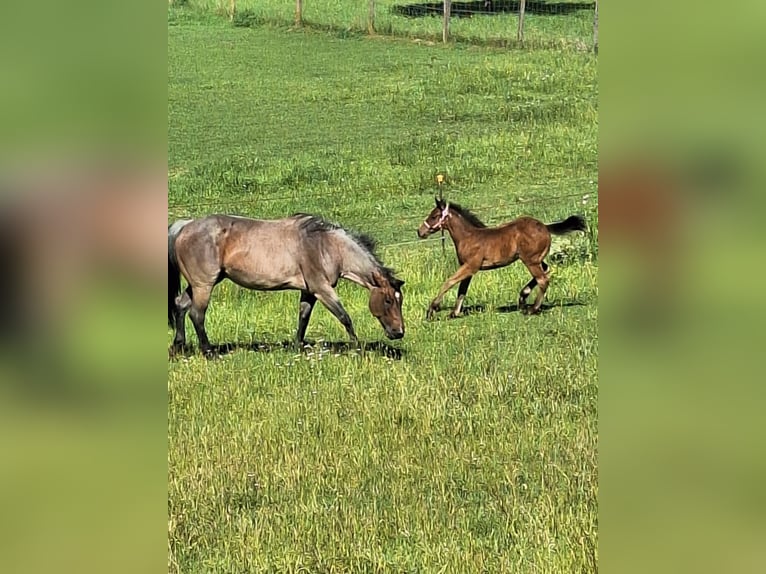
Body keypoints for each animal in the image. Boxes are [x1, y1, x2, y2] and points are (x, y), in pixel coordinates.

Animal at [168, 213, 405, 356]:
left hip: (199, 284)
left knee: (180, 305)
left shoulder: (309, 292)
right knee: (197, 314)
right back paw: (209, 352)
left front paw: (297, 347)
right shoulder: (322, 289)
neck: (325, 246)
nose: (399, 332)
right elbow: (344, 317)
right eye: (387, 300)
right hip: (204, 285)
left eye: (399, 300)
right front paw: (358, 348)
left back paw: (179, 345)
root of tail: (185, 225)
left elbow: (303, 318)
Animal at [417, 197, 586, 318]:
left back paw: (531, 309)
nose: (420, 231)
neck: (468, 237)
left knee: (543, 279)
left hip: (530, 260)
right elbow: (462, 290)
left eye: (434, 216)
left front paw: (432, 309)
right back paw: (523, 297)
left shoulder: (471, 266)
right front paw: (454, 312)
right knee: (545, 269)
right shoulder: (467, 268)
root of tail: (545, 226)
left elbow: (449, 282)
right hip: (535, 259)